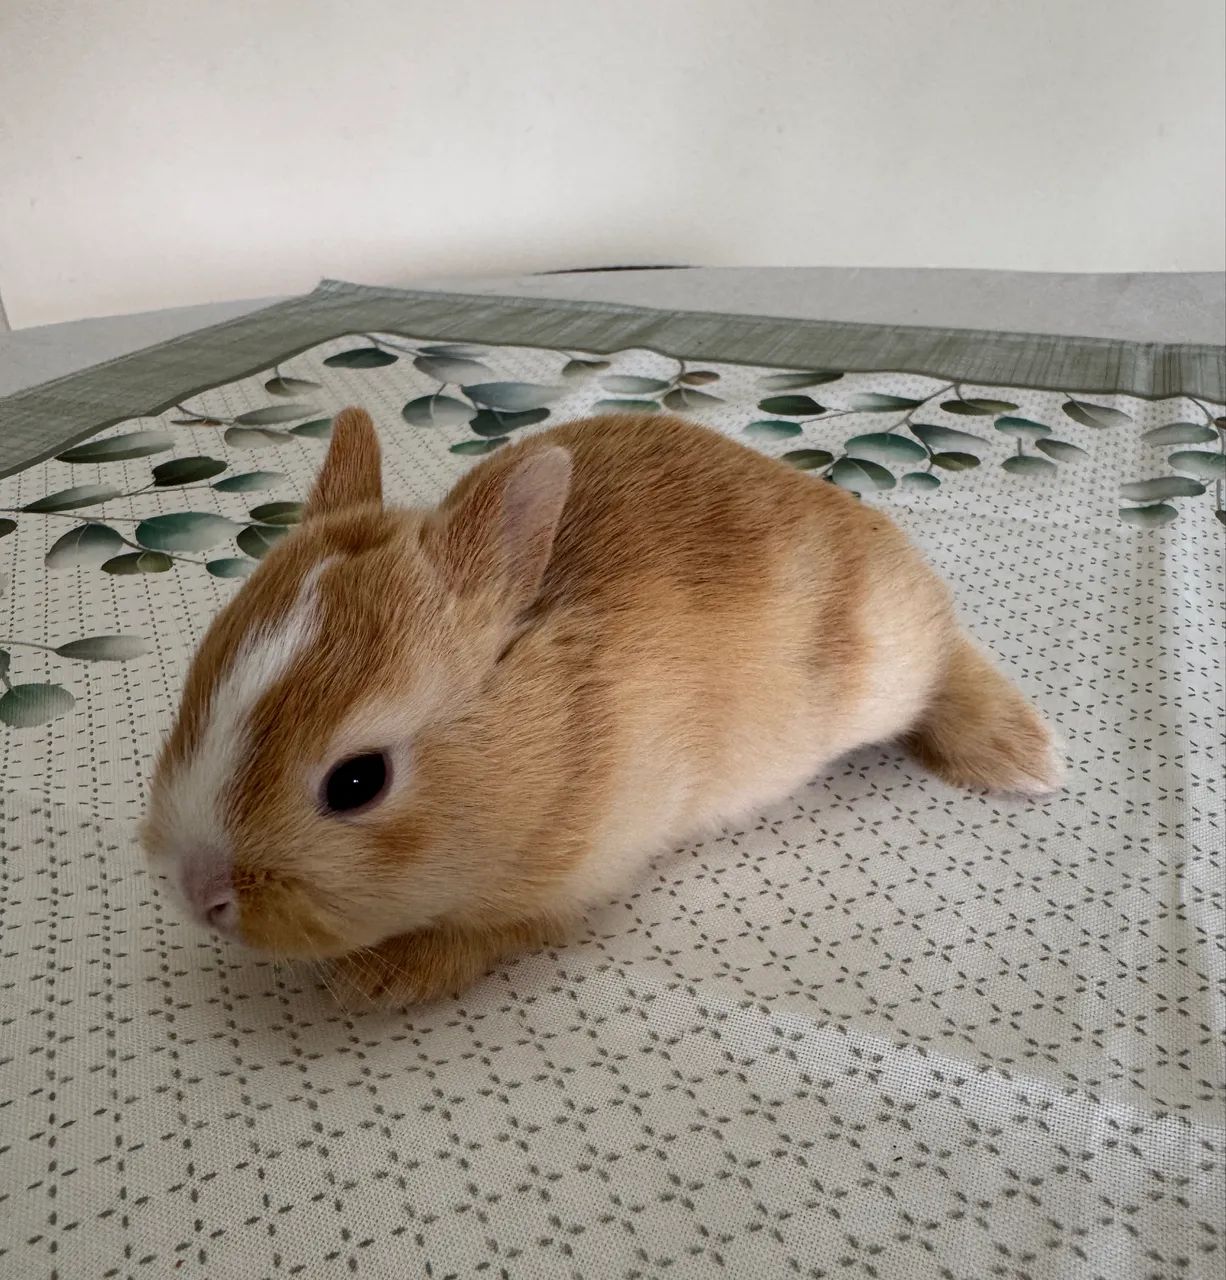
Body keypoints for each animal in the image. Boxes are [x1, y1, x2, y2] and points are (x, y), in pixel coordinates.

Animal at [142, 407, 1062, 1007]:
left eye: (357, 782)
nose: (197, 894)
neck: (549, 731)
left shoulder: (573, 879)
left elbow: (497, 930)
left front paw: (383, 978)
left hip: (888, 672)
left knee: (945, 662)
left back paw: (1020, 755)